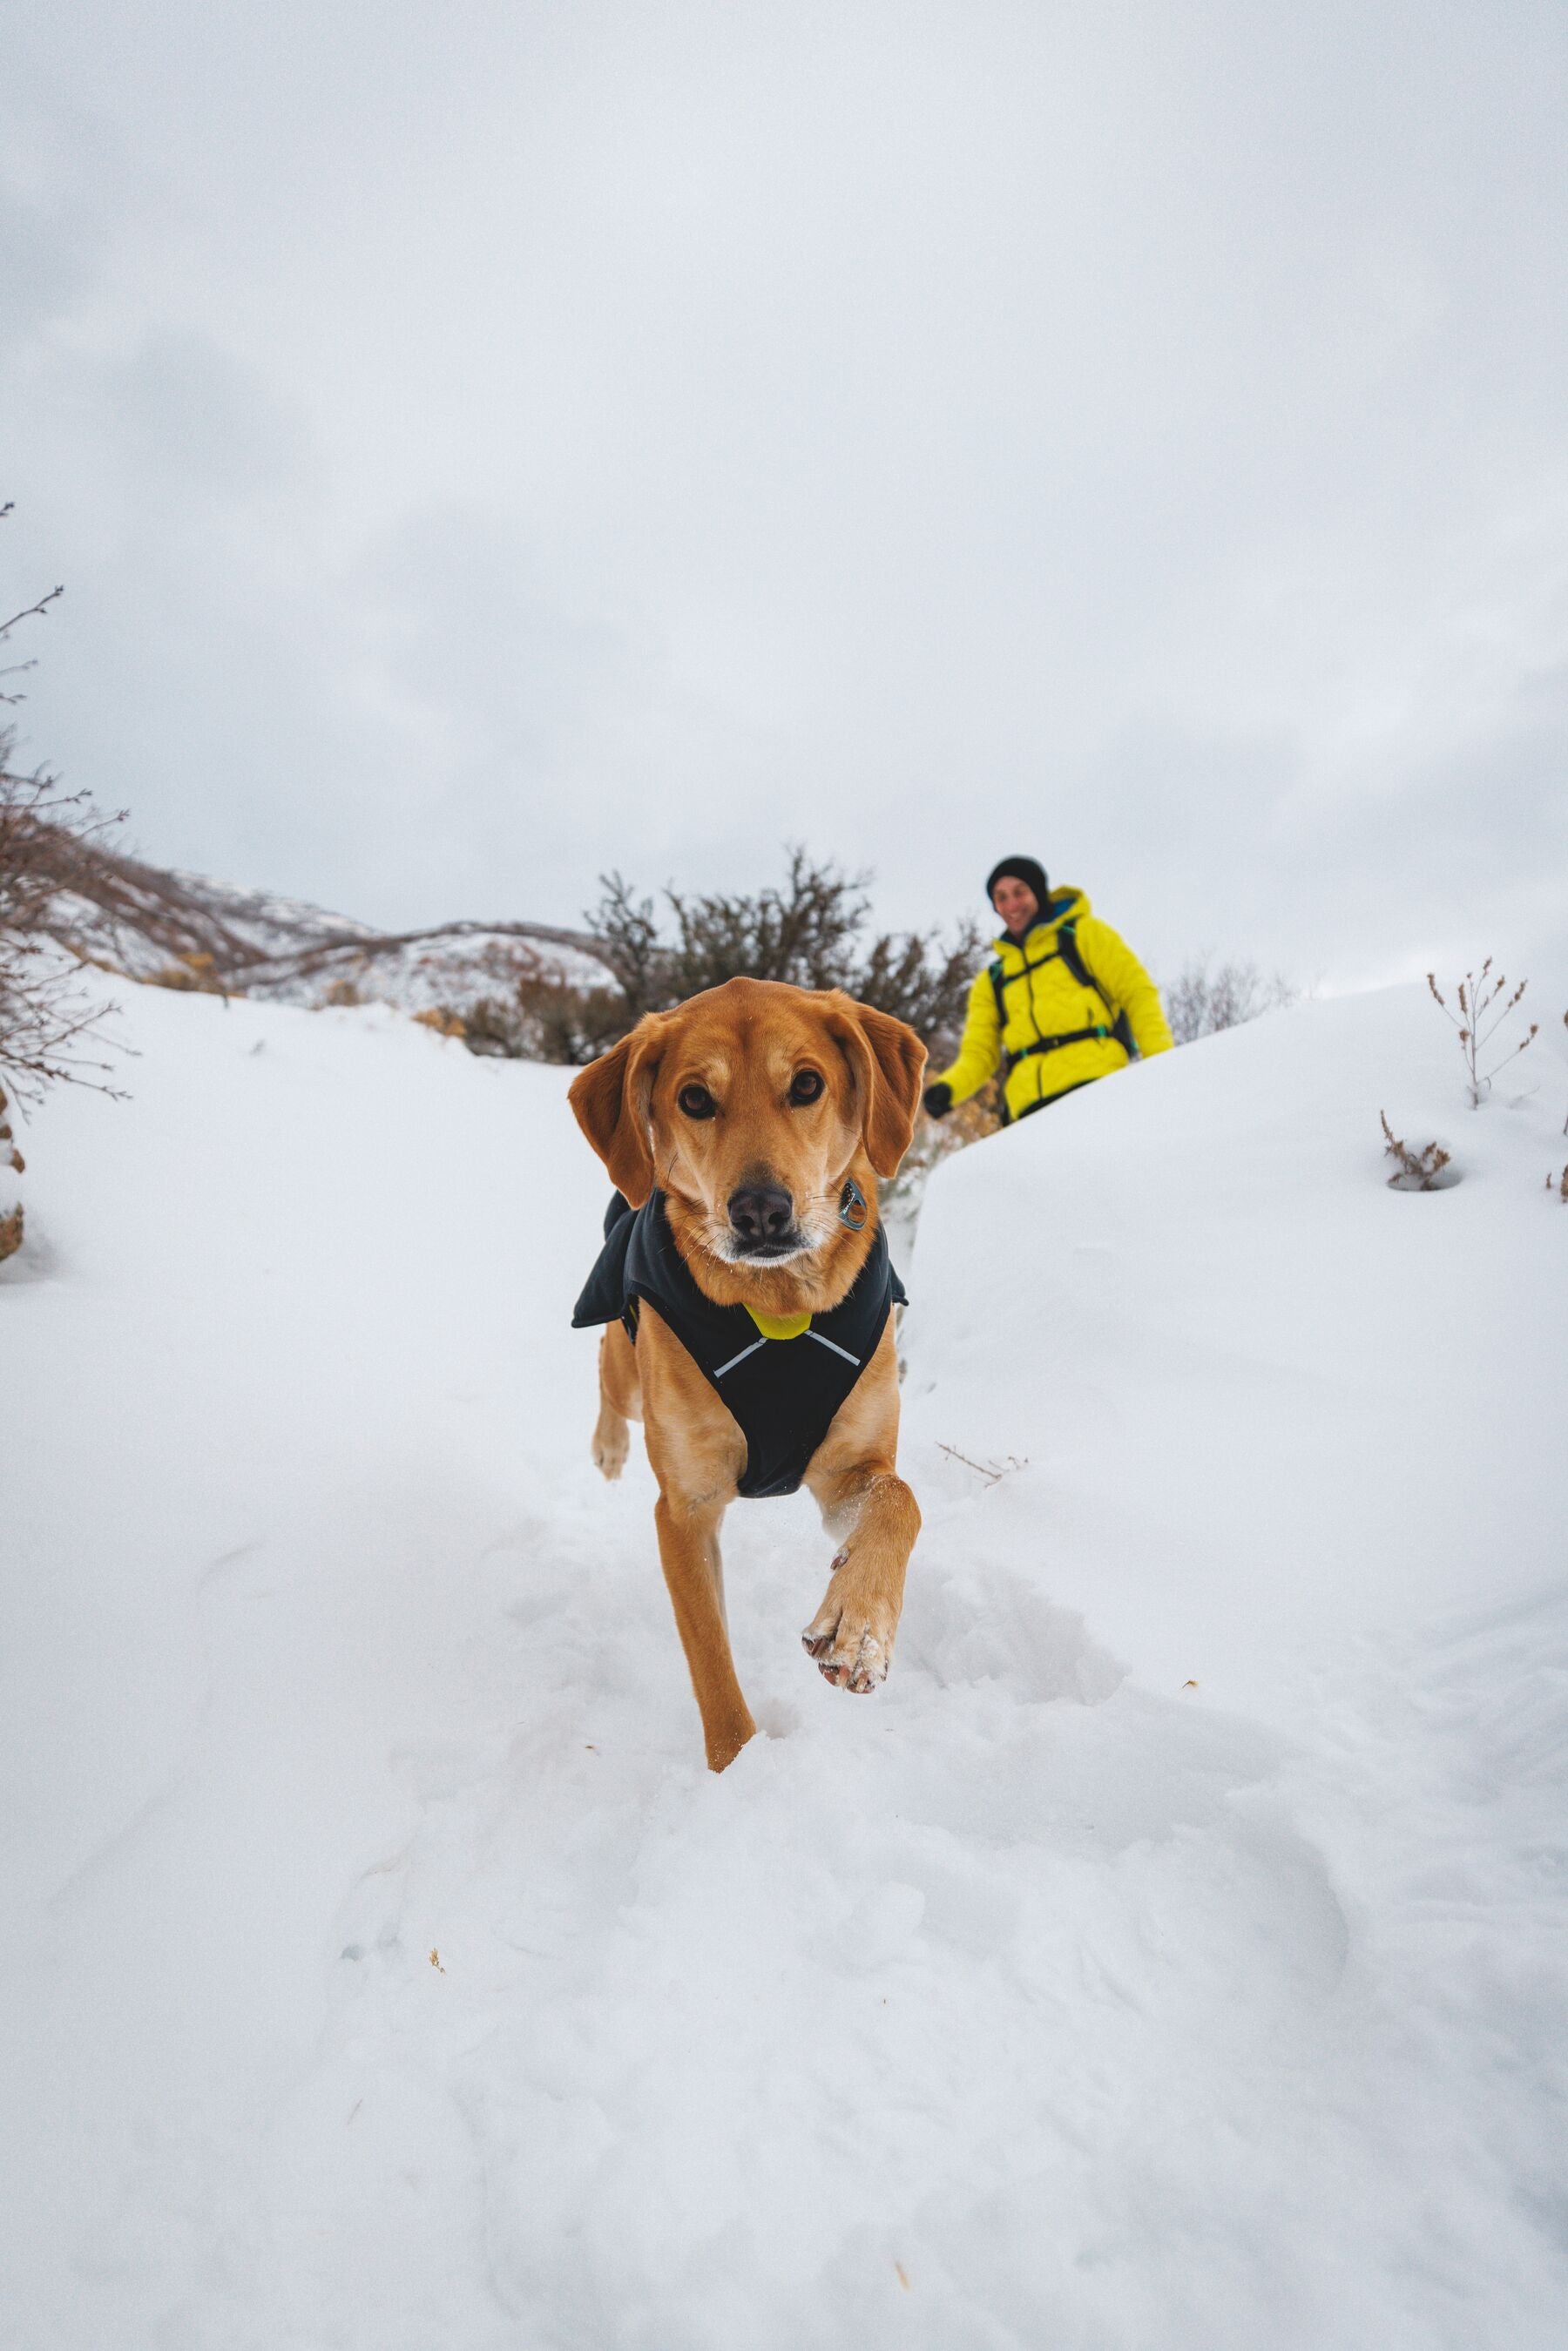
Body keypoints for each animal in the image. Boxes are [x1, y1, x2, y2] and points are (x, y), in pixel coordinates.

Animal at [571, 968, 926, 1767]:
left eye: (807, 1084)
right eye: (695, 1098)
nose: (761, 1210)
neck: (778, 1309)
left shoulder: (848, 1470)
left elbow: (900, 1500)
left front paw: (858, 1624)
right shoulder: (687, 1507)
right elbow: (711, 1659)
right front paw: (737, 1767)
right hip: (630, 1373)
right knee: (608, 1371)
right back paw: (606, 1446)